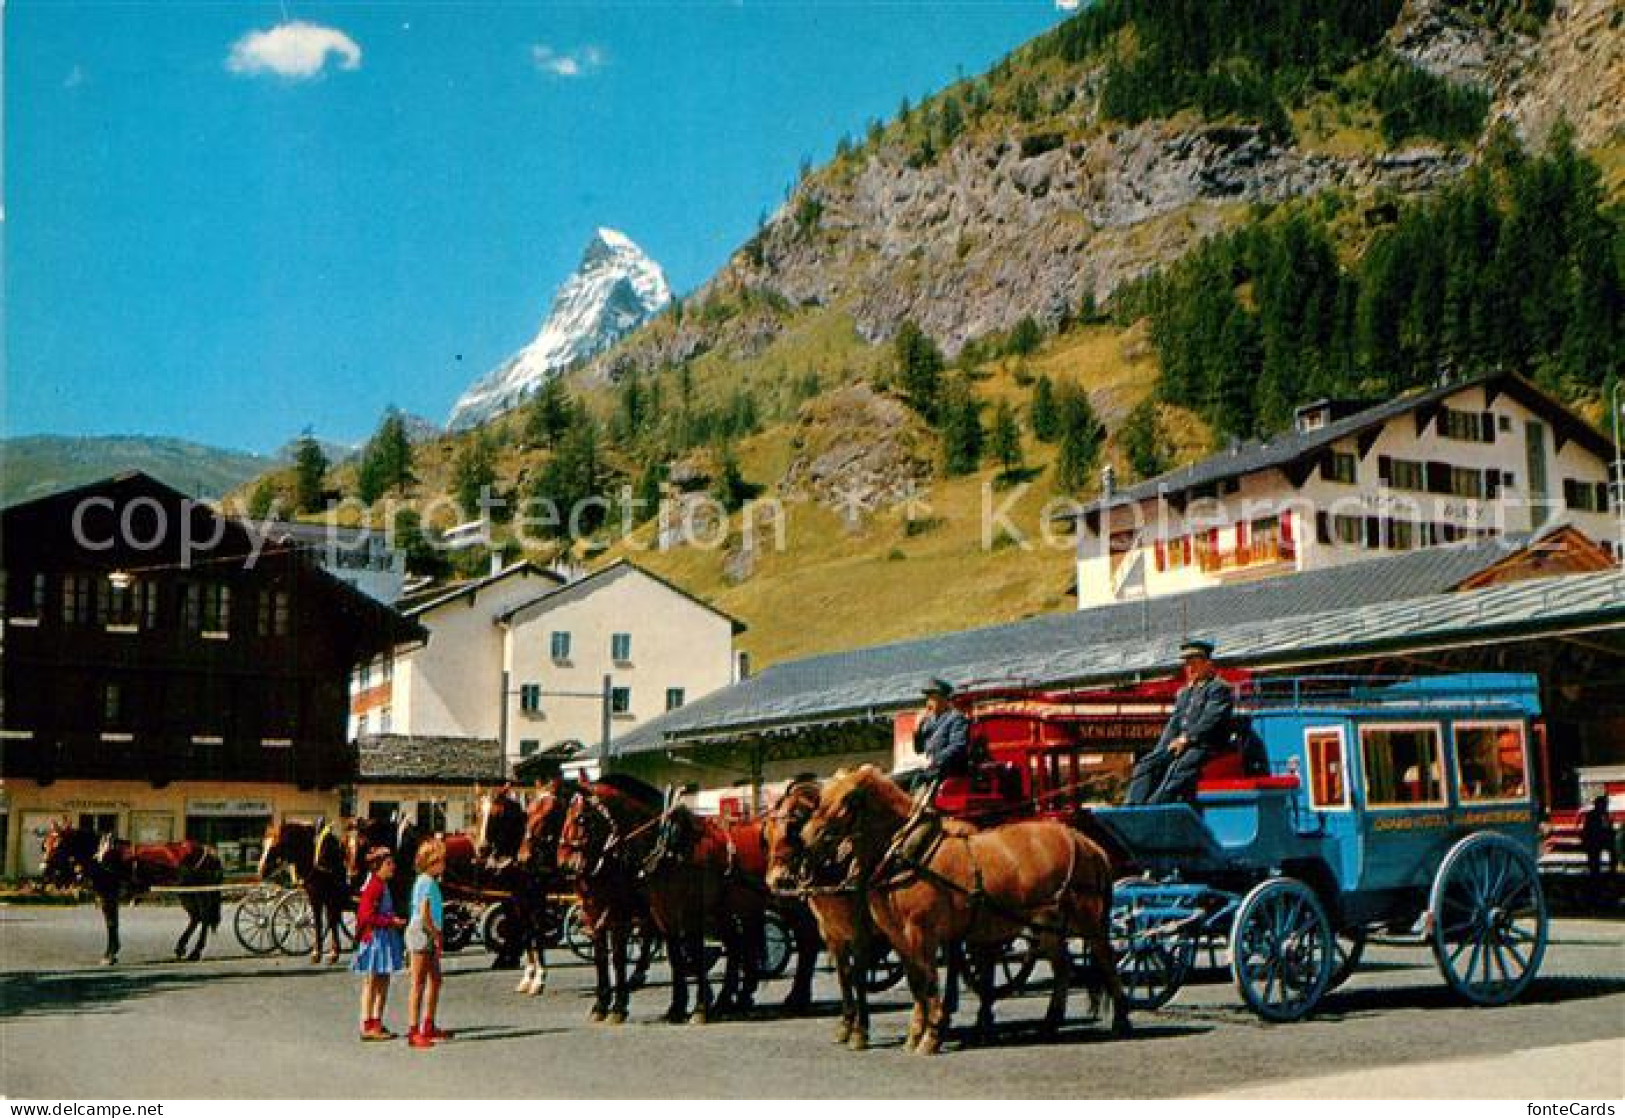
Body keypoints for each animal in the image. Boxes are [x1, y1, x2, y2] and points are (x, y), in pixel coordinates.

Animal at [40, 815, 224, 962]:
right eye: (45, 844)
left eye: (59, 845)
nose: (43, 870)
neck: (101, 856)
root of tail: (209, 850)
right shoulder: (105, 897)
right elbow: (112, 923)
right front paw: (112, 952)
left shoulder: (109, 895)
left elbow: (112, 923)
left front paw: (109, 955)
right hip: (185, 892)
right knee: (195, 917)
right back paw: (181, 947)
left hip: (201, 891)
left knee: (205, 917)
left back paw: (196, 951)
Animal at [258, 815, 351, 962]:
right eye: (263, 845)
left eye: (274, 846)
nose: (260, 870)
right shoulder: (314, 894)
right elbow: (319, 921)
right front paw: (318, 953)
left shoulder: (330, 894)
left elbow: (331, 920)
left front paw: (333, 952)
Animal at [799, 763, 1131, 1053]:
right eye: (821, 798)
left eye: (848, 799)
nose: (806, 839)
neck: (907, 856)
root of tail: (1085, 842)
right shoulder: (898, 937)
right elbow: (916, 983)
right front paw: (915, 1034)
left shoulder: (922, 933)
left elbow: (929, 981)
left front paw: (931, 1038)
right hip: (1046, 925)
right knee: (1063, 969)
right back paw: (1049, 1025)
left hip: (1088, 921)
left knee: (1106, 960)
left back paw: (1121, 1020)